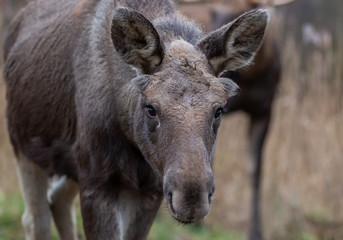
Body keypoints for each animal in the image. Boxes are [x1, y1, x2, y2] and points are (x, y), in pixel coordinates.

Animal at [4, 0, 270, 239]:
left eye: (218, 110)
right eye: (151, 108)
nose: (192, 198)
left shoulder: (149, 190)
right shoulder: (97, 182)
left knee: (58, 201)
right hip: (25, 148)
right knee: (35, 220)